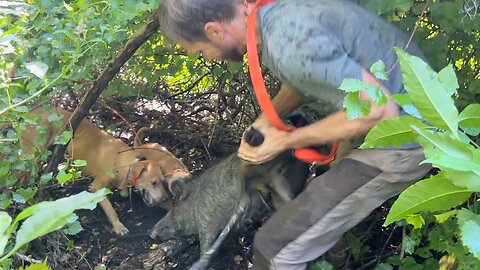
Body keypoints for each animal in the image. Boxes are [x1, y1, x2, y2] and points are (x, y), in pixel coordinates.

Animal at [18, 106, 191, 235]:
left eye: (163, 182)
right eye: (154, 182)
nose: (164, 199)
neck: (123, 163)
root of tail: (32, 111)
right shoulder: (97, 188)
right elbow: (110, 209)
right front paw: (118, 226)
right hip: (31, 154)